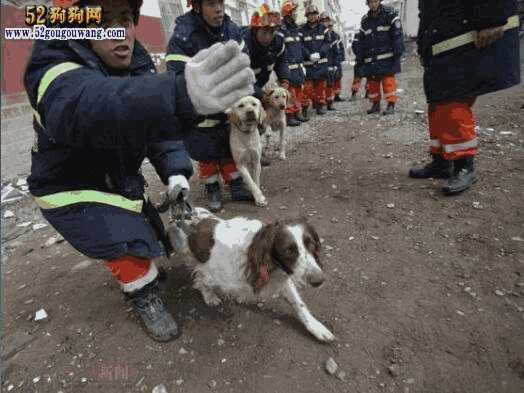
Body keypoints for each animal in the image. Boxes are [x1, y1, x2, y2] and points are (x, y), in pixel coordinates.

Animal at [170, 207, 338, 342]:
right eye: (288, 250)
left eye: (312, 244)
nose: (318, 281)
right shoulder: (213, 273)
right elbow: (201, 279)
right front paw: (209, 296)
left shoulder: (282, 278)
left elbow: (299, 304)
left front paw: (316, 327)